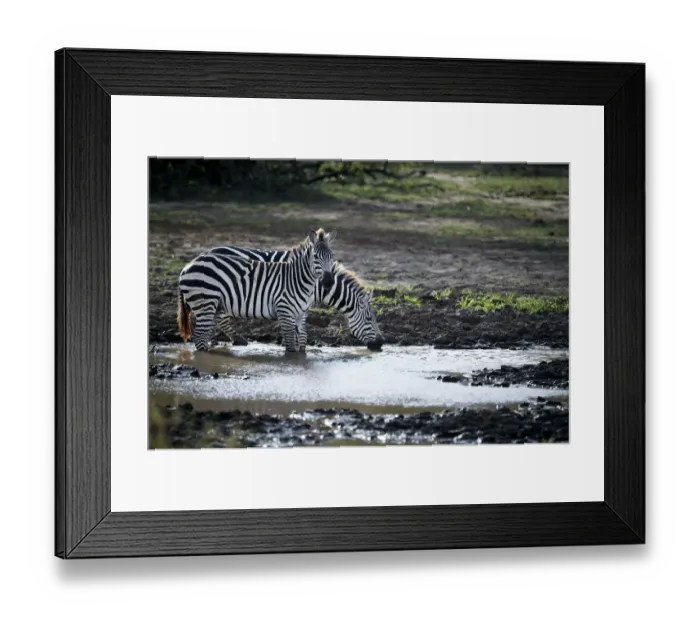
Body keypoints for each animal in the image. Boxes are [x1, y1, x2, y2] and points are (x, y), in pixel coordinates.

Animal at [177, 229, 336, 353]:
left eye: (332, 256)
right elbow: (291, 344)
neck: (298, 280)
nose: (329, 281)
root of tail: (187, 266)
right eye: (315, 257)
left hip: (213, 306)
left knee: (204, 335)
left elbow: (302, 342)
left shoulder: (301, 314)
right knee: (199, 335)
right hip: (205, 303)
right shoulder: (284, 310)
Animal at [212, 249, 384, 350]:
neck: (319, 284)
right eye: (369, 319)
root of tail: (212, 249)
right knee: (220, 319)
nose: (381, 343)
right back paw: (238, 339)